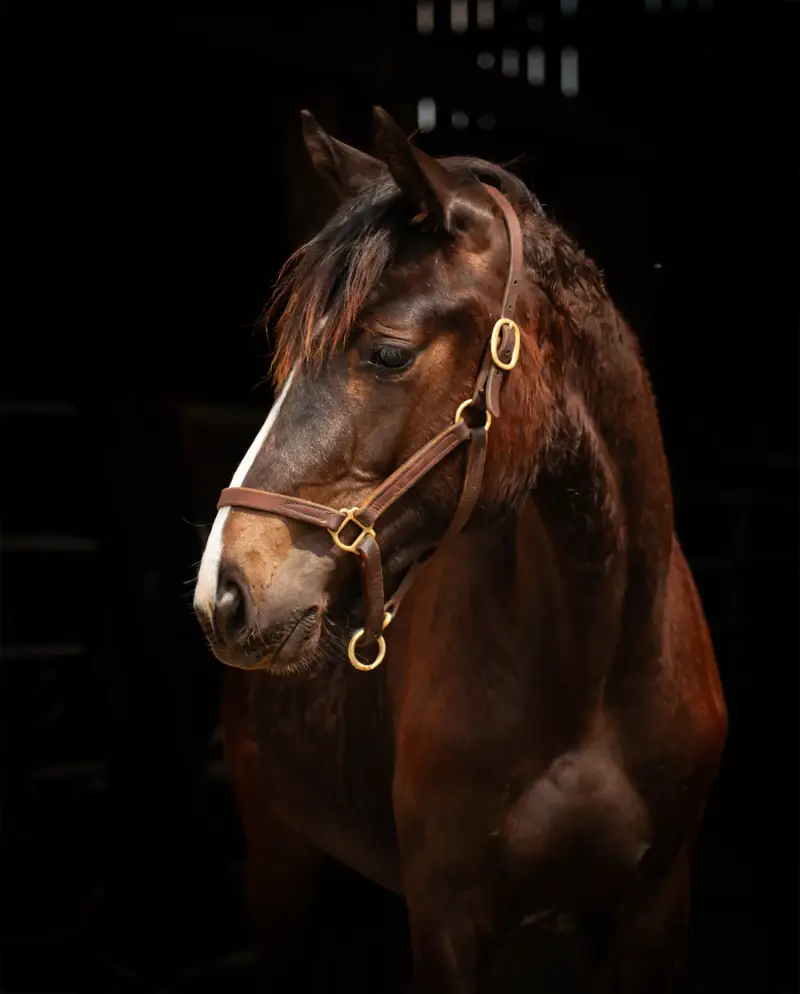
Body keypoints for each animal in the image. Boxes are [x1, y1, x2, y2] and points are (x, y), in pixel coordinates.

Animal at [192, 106, 727, 993]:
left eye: (387, 353)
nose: (224, 592)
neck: (594, 674)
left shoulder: (652, 915)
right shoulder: (449, 917)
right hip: (279, 856)